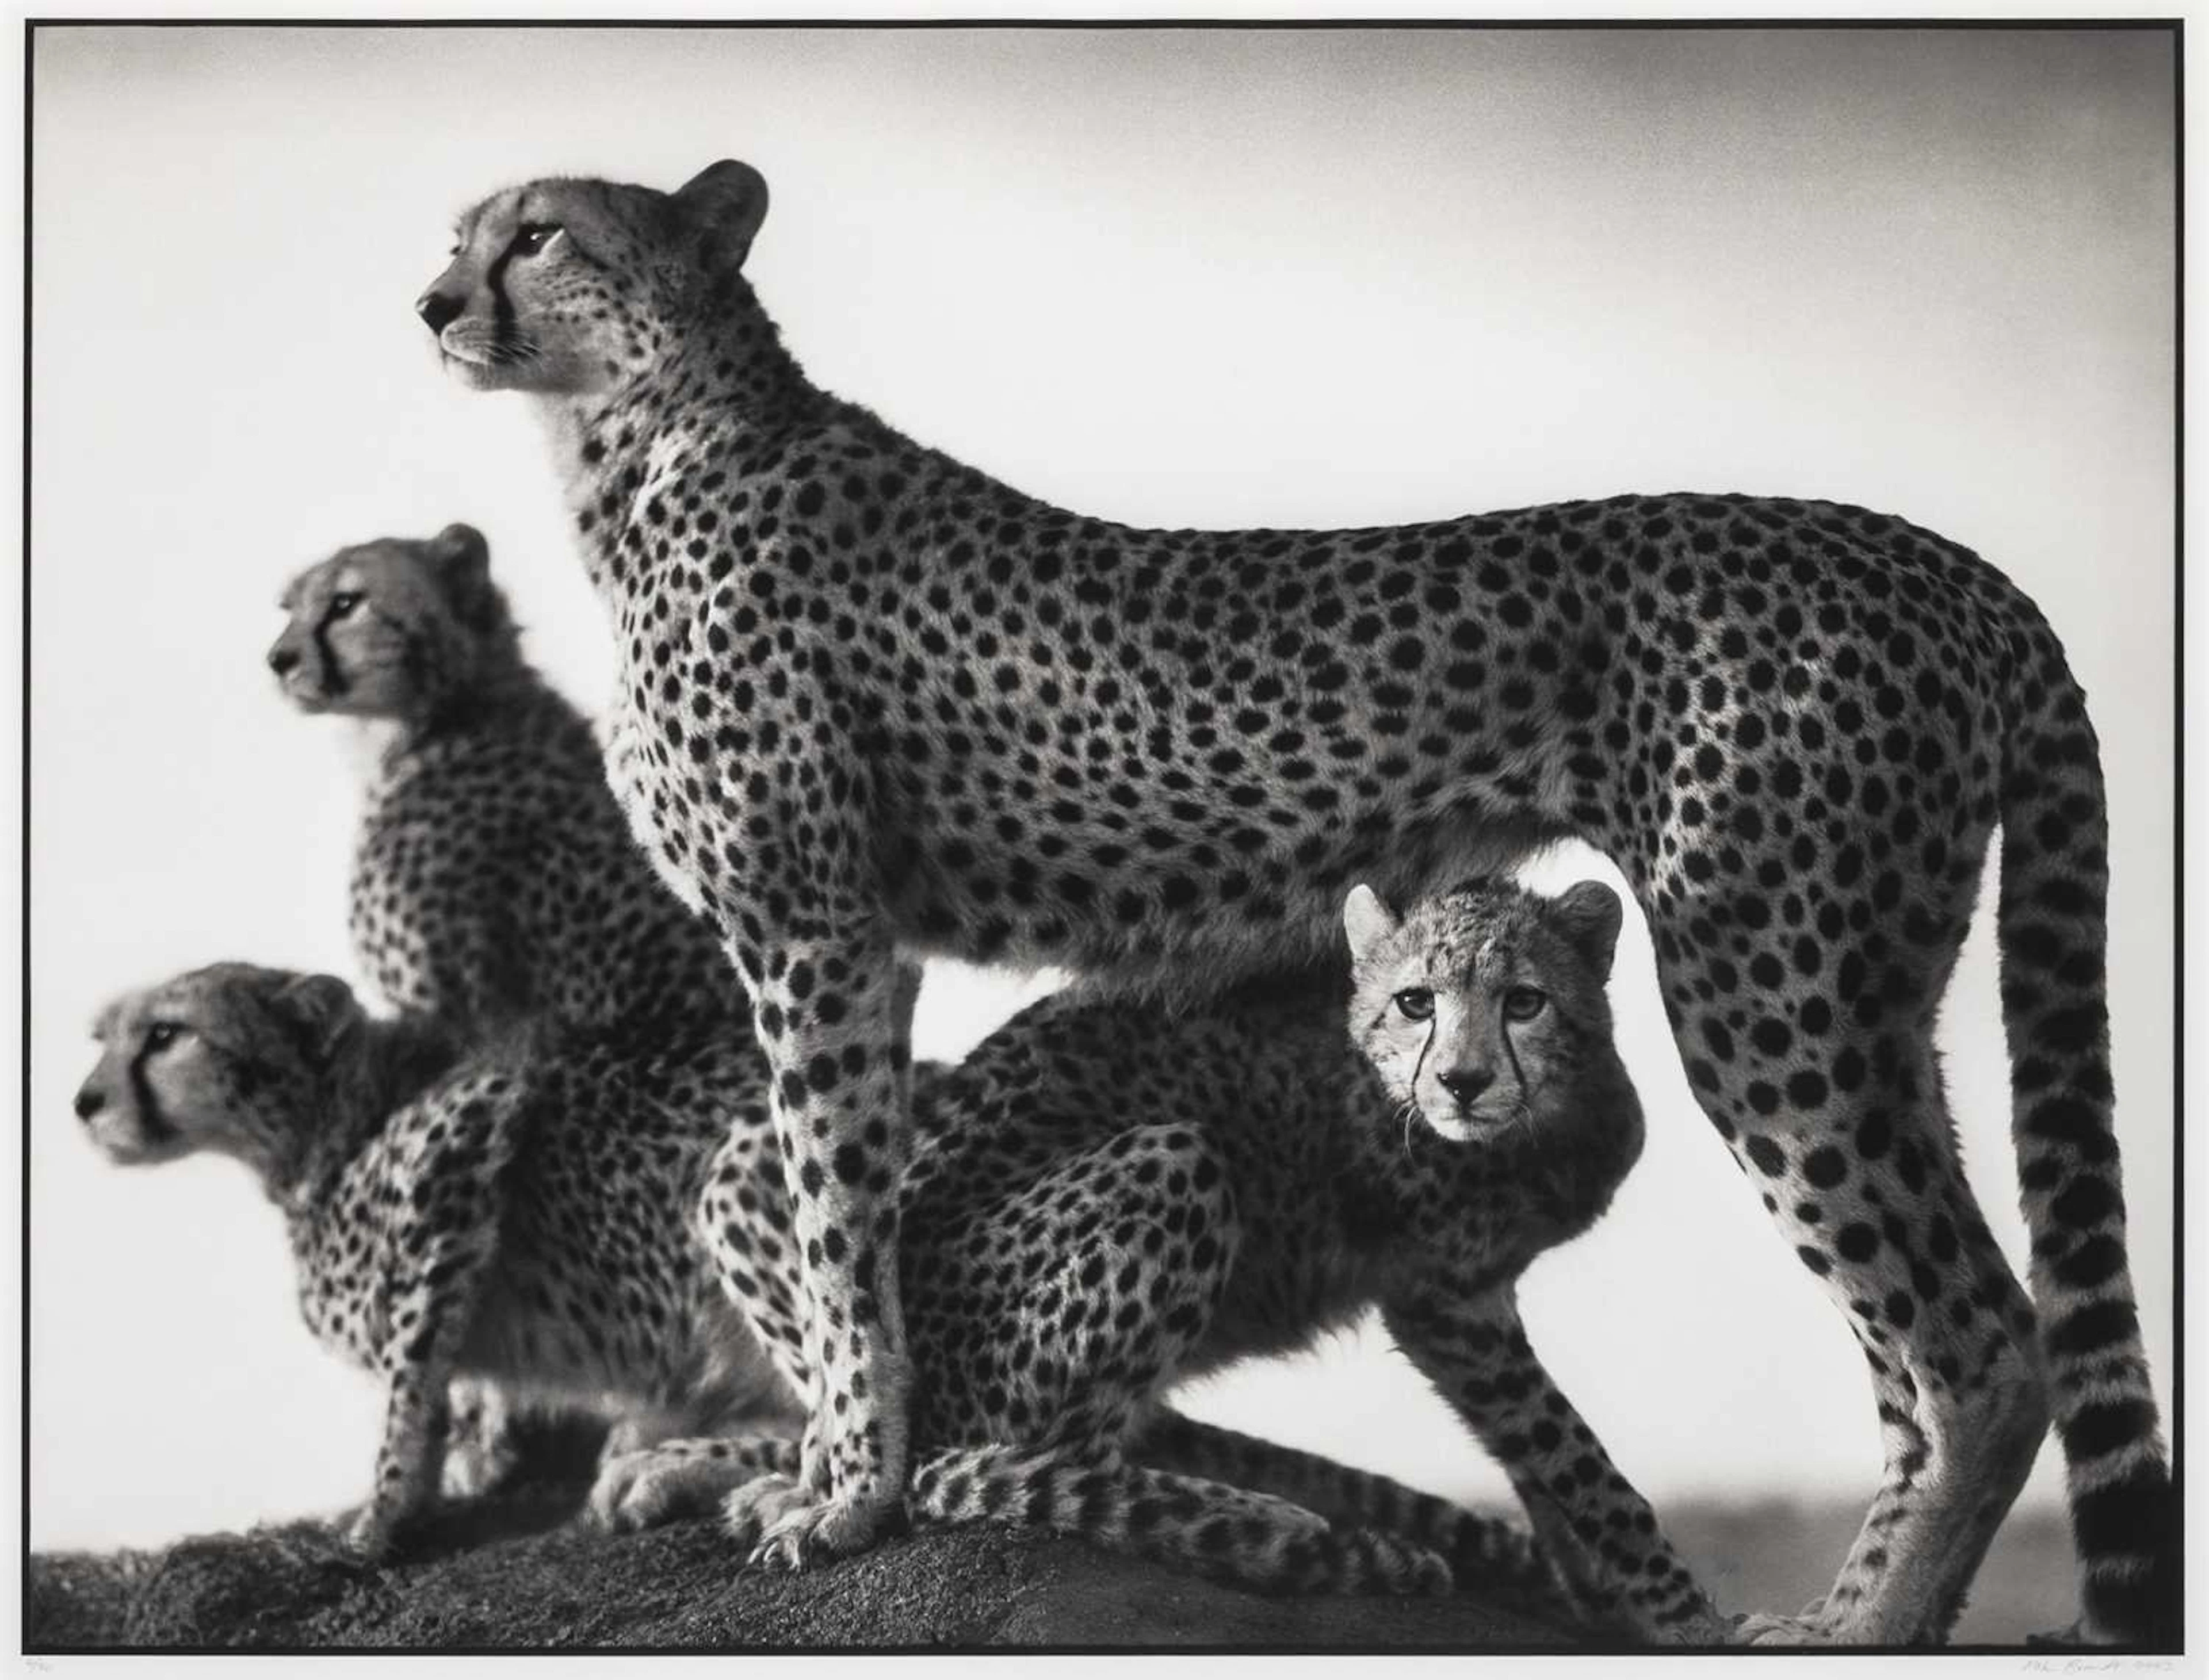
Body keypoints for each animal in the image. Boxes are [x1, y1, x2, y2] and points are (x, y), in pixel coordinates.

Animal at [69, 962, 798, 1560]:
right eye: (102, 1037)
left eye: (166, 1034)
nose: (84, 1102)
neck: (335, 1115)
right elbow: (459, 1390)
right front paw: (472, 1462)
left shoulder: (467, 1122)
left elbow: (411, 1376)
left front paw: (382, 1516)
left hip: (737, 1173)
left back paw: (690, 1472)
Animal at [601, 878, 1701, 1628]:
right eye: (1416, 1002)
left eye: (1524, 1000)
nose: (1465, 1083)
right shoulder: (1446, 1301)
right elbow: (1573, 1452)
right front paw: (1680, 1610)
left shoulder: (1483, 1298)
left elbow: (1538, 1460)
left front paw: (1594, 1595)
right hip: (1174, 1163)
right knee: (1020, 1467)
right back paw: (1271, 1523)